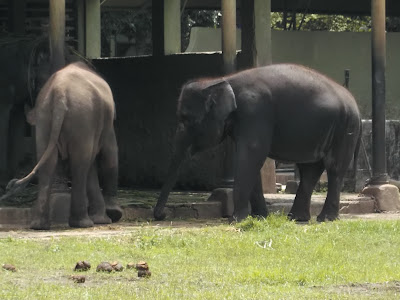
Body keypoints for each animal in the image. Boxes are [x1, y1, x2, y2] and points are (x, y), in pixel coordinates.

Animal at [1, 61, 122, 230]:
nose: (8, 186)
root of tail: (60, 93)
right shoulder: (106, 124)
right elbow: (109, 155)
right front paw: (112, 216)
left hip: (45, 117)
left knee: (49, 164)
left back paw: (40, 226)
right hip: (82, 116)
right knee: (80, 164)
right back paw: (83, 223)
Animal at [153, 63, 362, 223]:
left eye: (187, 120)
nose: (162, 216)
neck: (222, 80)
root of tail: (354, 102)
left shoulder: (254, 111)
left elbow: (251, 154)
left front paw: (236, 220)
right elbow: (250, 159)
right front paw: (259, 217)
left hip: (345, 128)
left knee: (334, 169)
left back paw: (324, 219)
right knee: (310, 170)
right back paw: (296, 218)